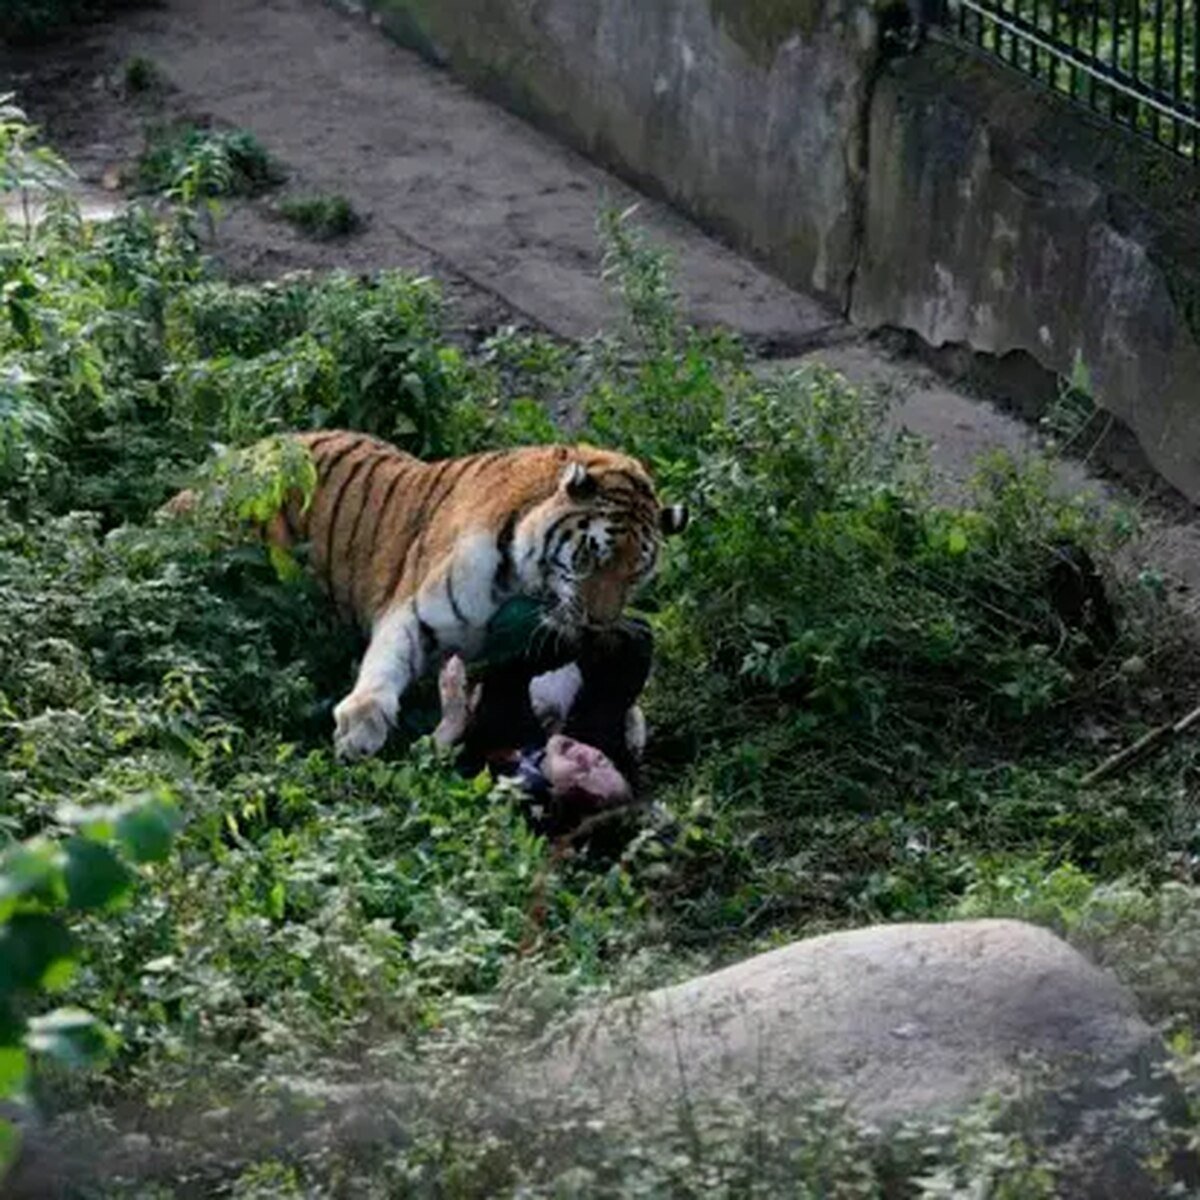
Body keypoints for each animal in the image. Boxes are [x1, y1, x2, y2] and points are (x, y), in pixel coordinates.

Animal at [219, 432, 686, 758]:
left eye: (635, 574)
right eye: (591, 556)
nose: (597, 623)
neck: (524, 584)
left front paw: (628, 722)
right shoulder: (416, 611)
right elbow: (387, 660)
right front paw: (361, 725)